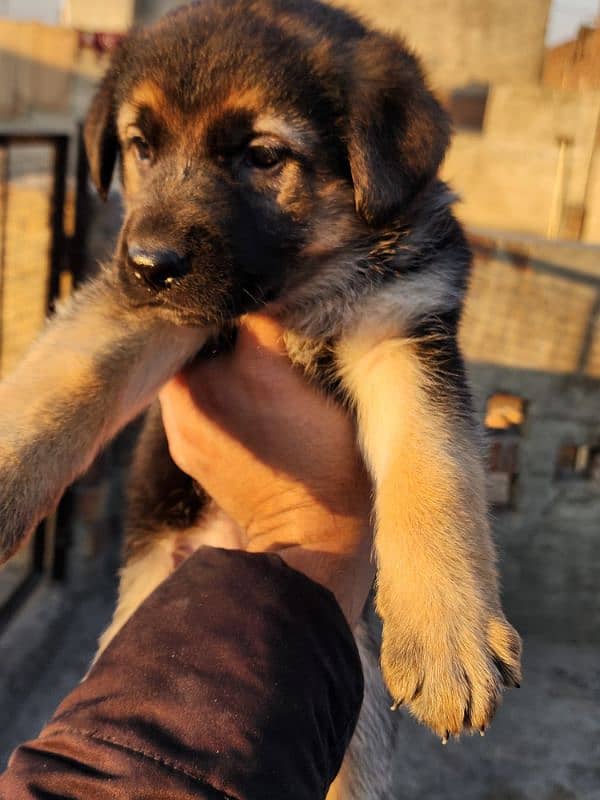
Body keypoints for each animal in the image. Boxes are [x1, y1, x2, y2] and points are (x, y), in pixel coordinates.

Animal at [0, 1, 520, 792]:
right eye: (140, 147)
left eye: (263, 156)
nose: (148, 264)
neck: (299, 289)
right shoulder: (143, 311)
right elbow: (66, 377)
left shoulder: (403, 323)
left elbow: (432, 463)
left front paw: (446, 632)